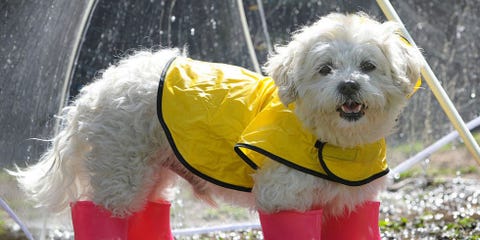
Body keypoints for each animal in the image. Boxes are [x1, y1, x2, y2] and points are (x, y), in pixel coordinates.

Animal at [13, 12, 422, 239]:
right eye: (325, 69)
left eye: (368, 66)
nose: (349, 85)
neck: (330, 140)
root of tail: (95, 88)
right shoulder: (284, 201)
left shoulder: (351, 206)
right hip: (119, 174)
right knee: (99, 213)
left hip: (150, 176)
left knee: (148, 216)